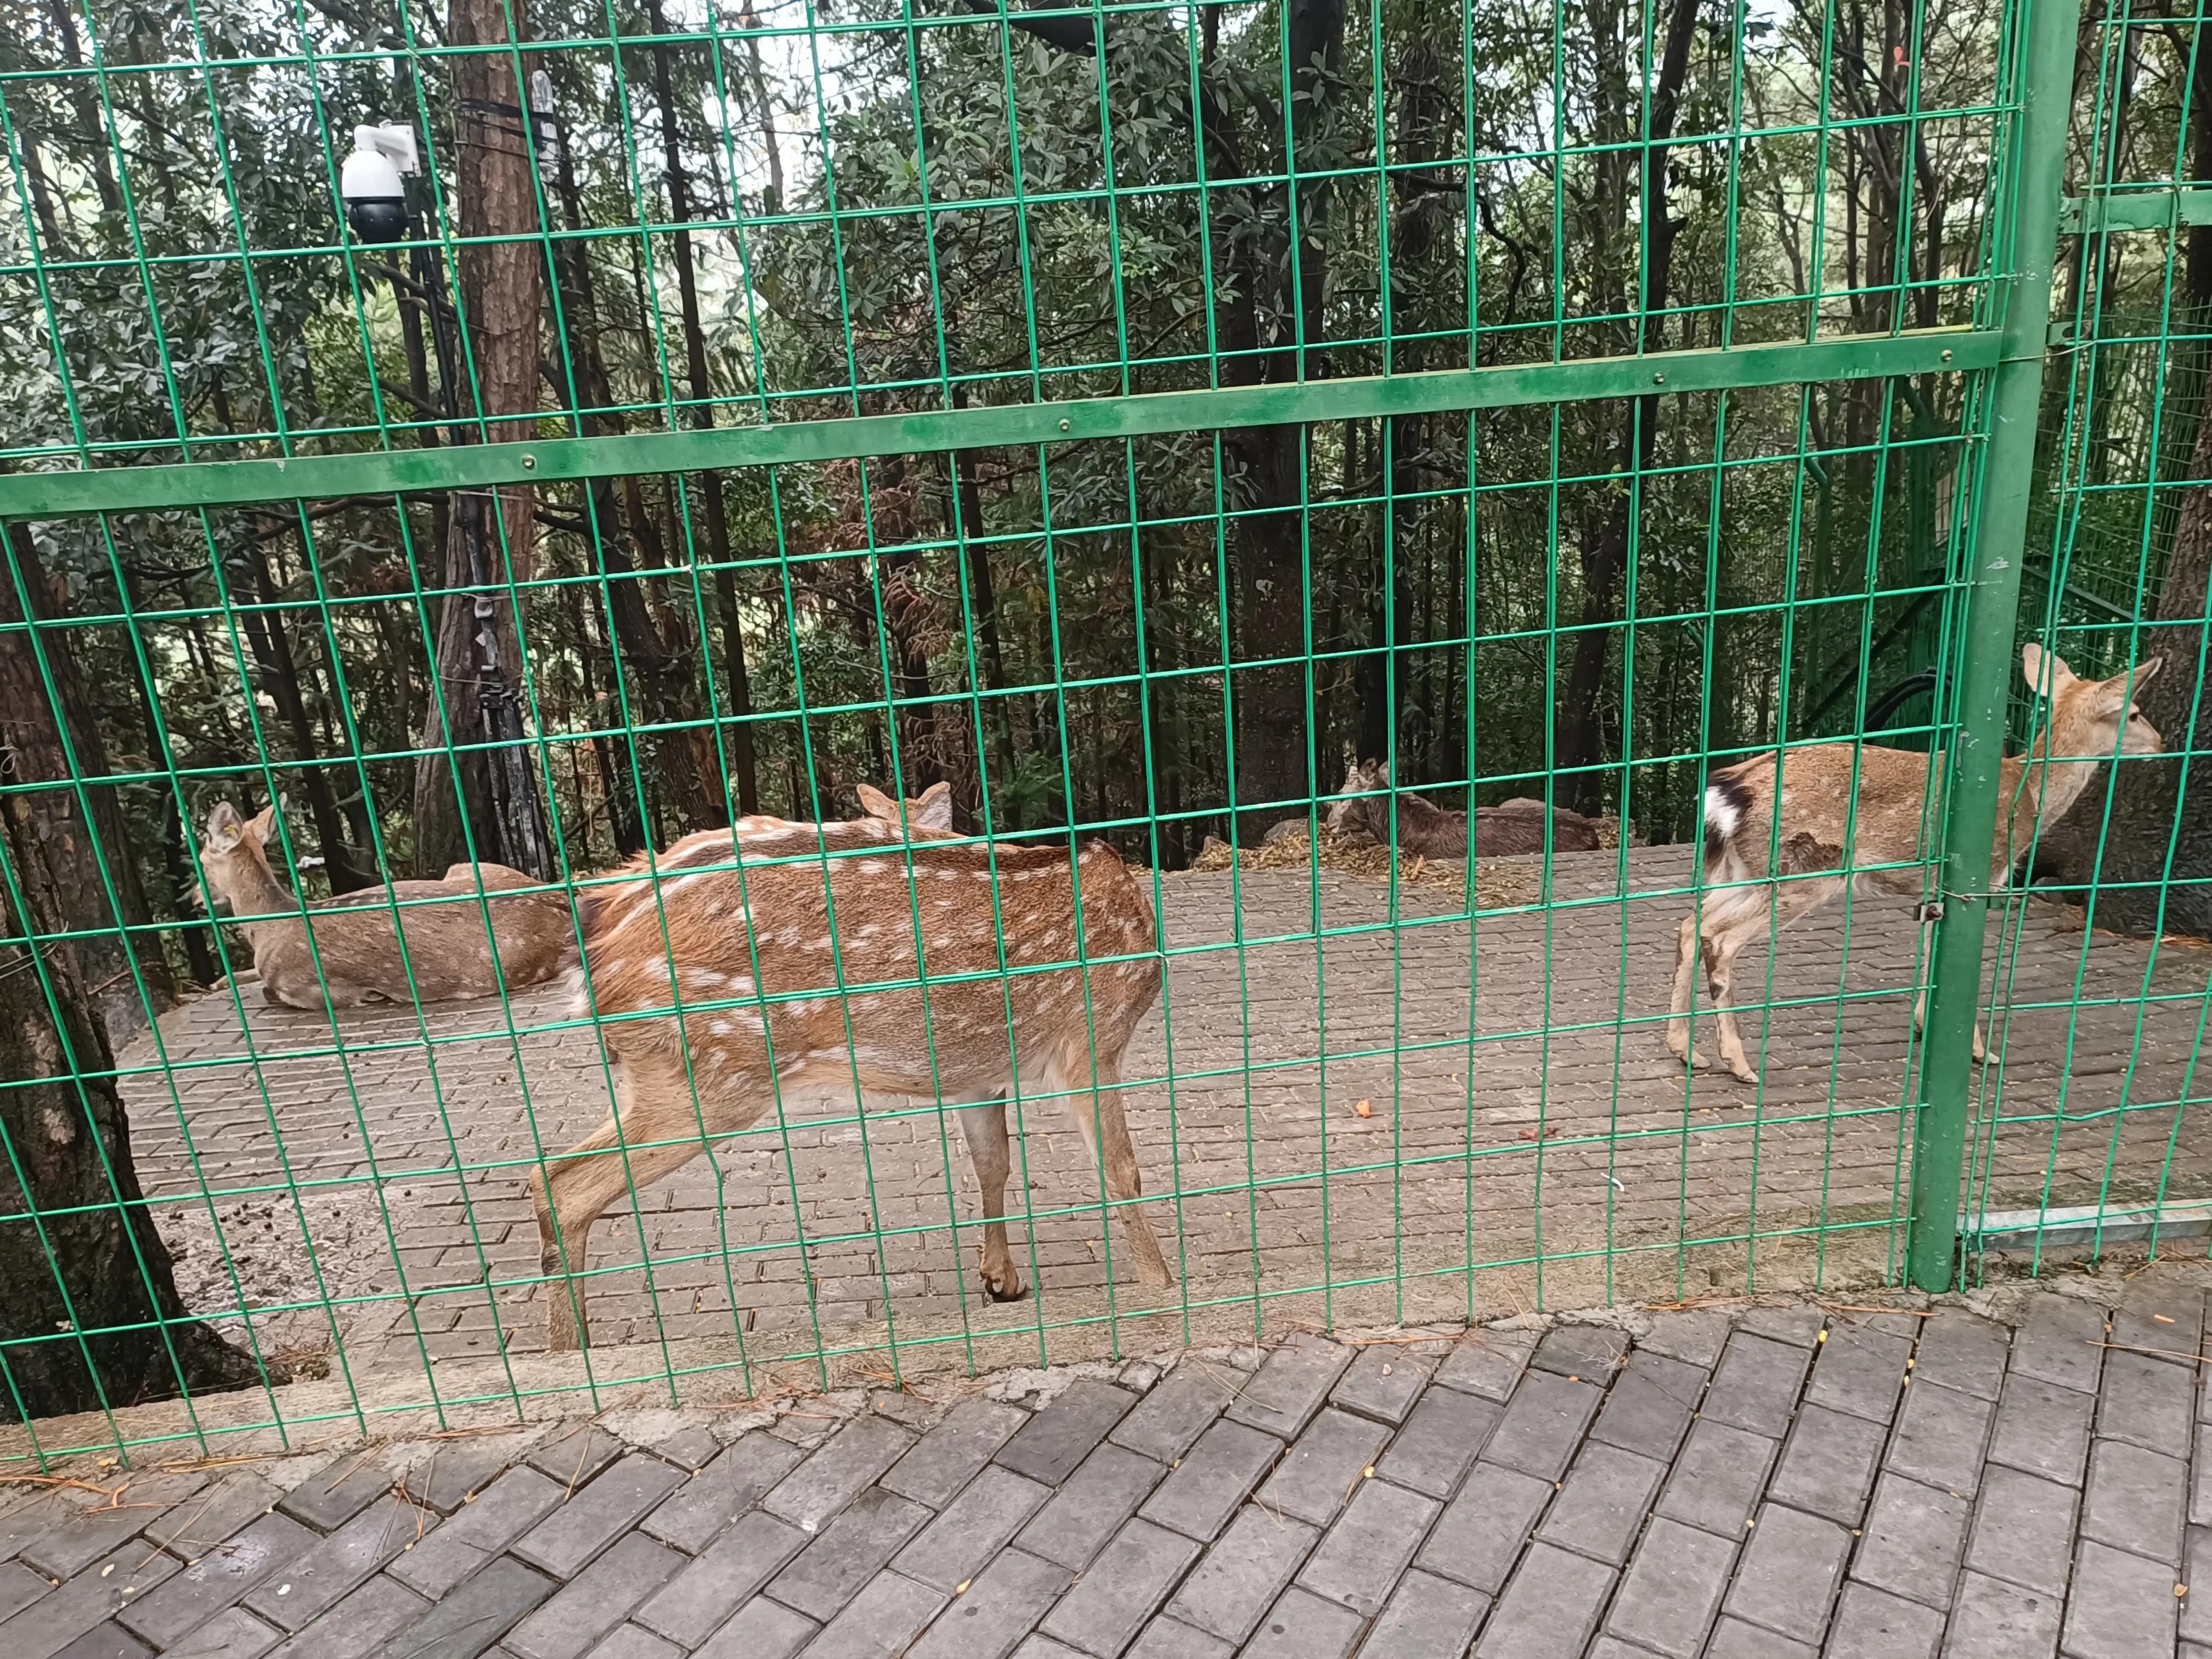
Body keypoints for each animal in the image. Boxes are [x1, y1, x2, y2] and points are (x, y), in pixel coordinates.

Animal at [201, 805, 579, 1013]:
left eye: (202, 859)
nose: (195, 897)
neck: (270, 927)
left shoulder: (314, 991)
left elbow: (269, 992)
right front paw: (221, 982)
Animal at [531, 778, 1177, 1353]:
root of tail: (599, 936)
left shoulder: (975, 1069)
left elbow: (993, 1163)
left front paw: (1001, 1279)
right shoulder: (1093, 1032)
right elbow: (1121, 1170)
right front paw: (1162, 1287)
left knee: (552, 1178)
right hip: (712, 1069)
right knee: (563, 1184)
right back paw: (570, 1355)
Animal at [1672, 650, 2159, 1092]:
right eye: (2134, 713)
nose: (2159, 742)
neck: (2030, 797)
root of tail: (1726, 793)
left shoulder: (1935, 887)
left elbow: (1931, 949)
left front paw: (1926, 1025)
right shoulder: (1984, 876)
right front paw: (1979, 1051)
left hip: (1740, 870)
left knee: (1692, 923)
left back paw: (1685, 1050)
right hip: (1803, 870)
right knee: (1721, 938)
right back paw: (1739, 1063)